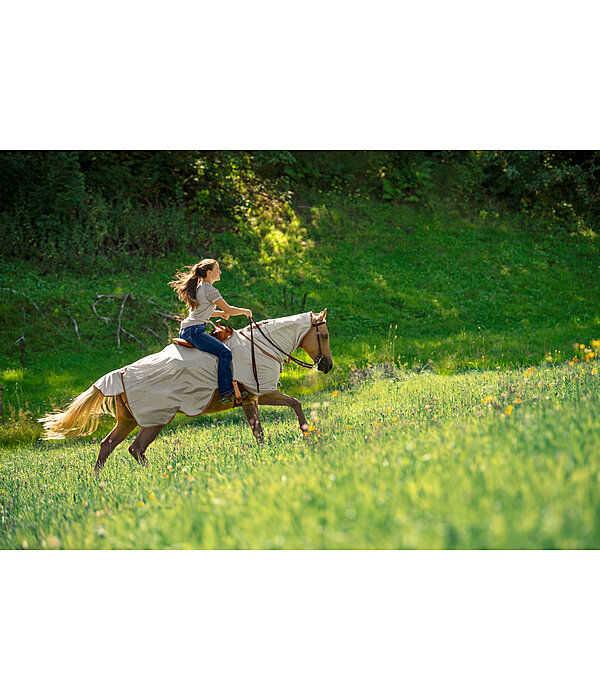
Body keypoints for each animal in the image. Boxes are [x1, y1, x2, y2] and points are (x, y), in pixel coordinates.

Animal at [39, 310, 332, 478]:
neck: (260, 346)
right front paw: (306, 432)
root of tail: (120, 374)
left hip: (129, 421)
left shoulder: (249, 401)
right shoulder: (264, 392)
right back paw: (155, 475)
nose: (327, 366)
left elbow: (257, 430)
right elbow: (295, 403)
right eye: (325, 335)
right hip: (155, 421)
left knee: (107, 445)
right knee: (136, 448)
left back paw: (98, 480)